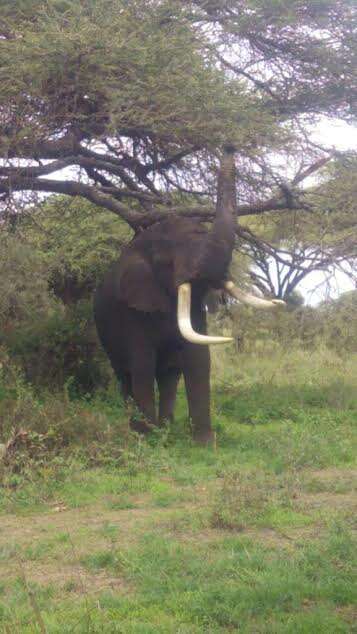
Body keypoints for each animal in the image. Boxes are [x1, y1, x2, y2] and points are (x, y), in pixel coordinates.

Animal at [93, 148, 282, 444]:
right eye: (166, 261)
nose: (228, 146)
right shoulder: (132, 310)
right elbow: (142, 365)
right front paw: (150, 439)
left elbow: (198, 359)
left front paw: (204, 444)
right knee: (126, 374)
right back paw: (140, 429)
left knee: (169, 373)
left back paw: (167, 427)